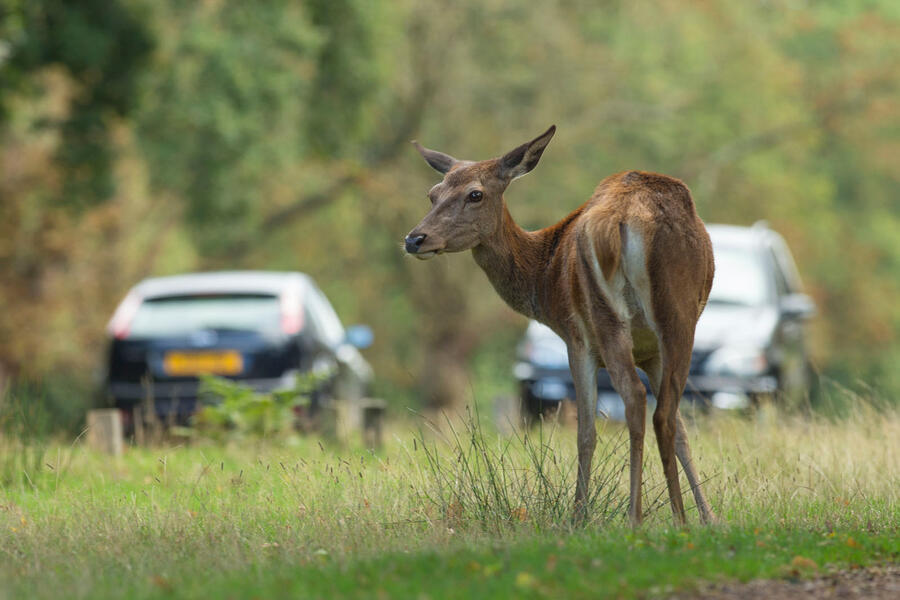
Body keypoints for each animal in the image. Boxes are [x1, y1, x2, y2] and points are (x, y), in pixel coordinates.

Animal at [404, 125, 716, 526]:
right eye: (433, 193)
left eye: (475, 194)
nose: (414, 238)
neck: (544, 275)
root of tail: (625, 219)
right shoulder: (651, 352)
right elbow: (682, 432)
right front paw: (709, 517)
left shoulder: (575, 338)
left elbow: (585, 432)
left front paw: (577, 516)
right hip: (679, 316)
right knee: (664, 413)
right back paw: (679, 517)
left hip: (606, 317)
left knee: (633, 399)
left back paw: (636, 517)